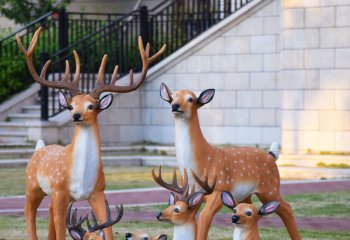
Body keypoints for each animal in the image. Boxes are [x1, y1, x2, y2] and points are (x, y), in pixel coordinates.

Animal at [18, 27, 166, 239]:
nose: (76, 115)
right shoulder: (60, 190)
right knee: (29, 213)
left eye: (91, 105)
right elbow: (62, 231)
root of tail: (39, 148)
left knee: (49, 215)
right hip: (33, 186)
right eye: (71, 105)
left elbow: (108, 228)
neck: (81, 177)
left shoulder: (98, 192)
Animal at [160, 83, 300, 240]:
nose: (175, 105)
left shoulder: (219, 190)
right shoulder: (192, 196)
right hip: (247, 194)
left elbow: (203, 218)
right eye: (173, 96)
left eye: (191, 99)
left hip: (270, 188)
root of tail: (271, 155)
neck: (201, 163)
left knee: (286, 208)